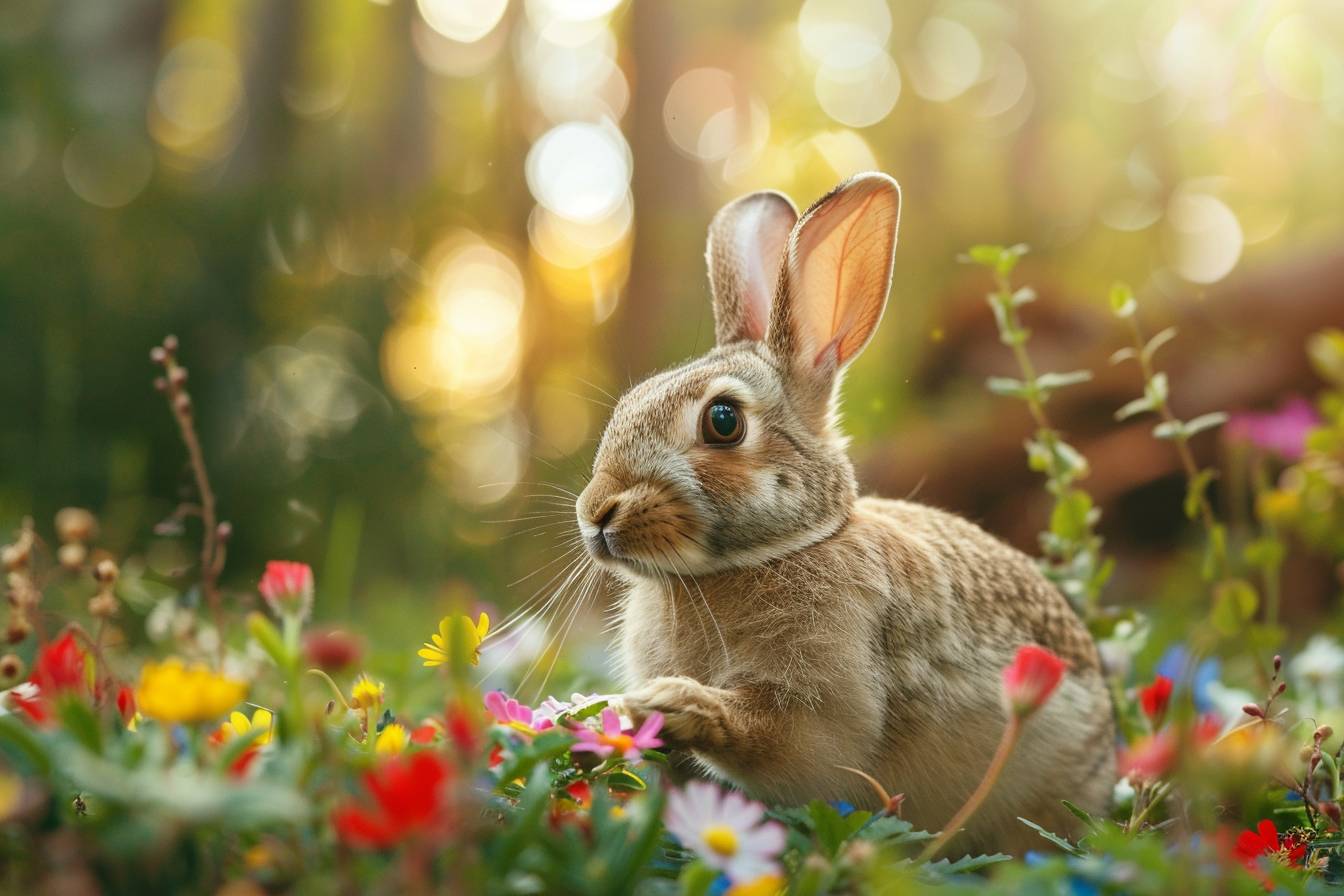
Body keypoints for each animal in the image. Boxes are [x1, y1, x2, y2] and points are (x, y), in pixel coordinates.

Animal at [574, 172, 1116, 855]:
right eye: (628, 403)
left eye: (723, 421)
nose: (596, 512)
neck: (777, 550)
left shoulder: (829, 697)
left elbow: (786, 741)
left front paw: (673, 705)